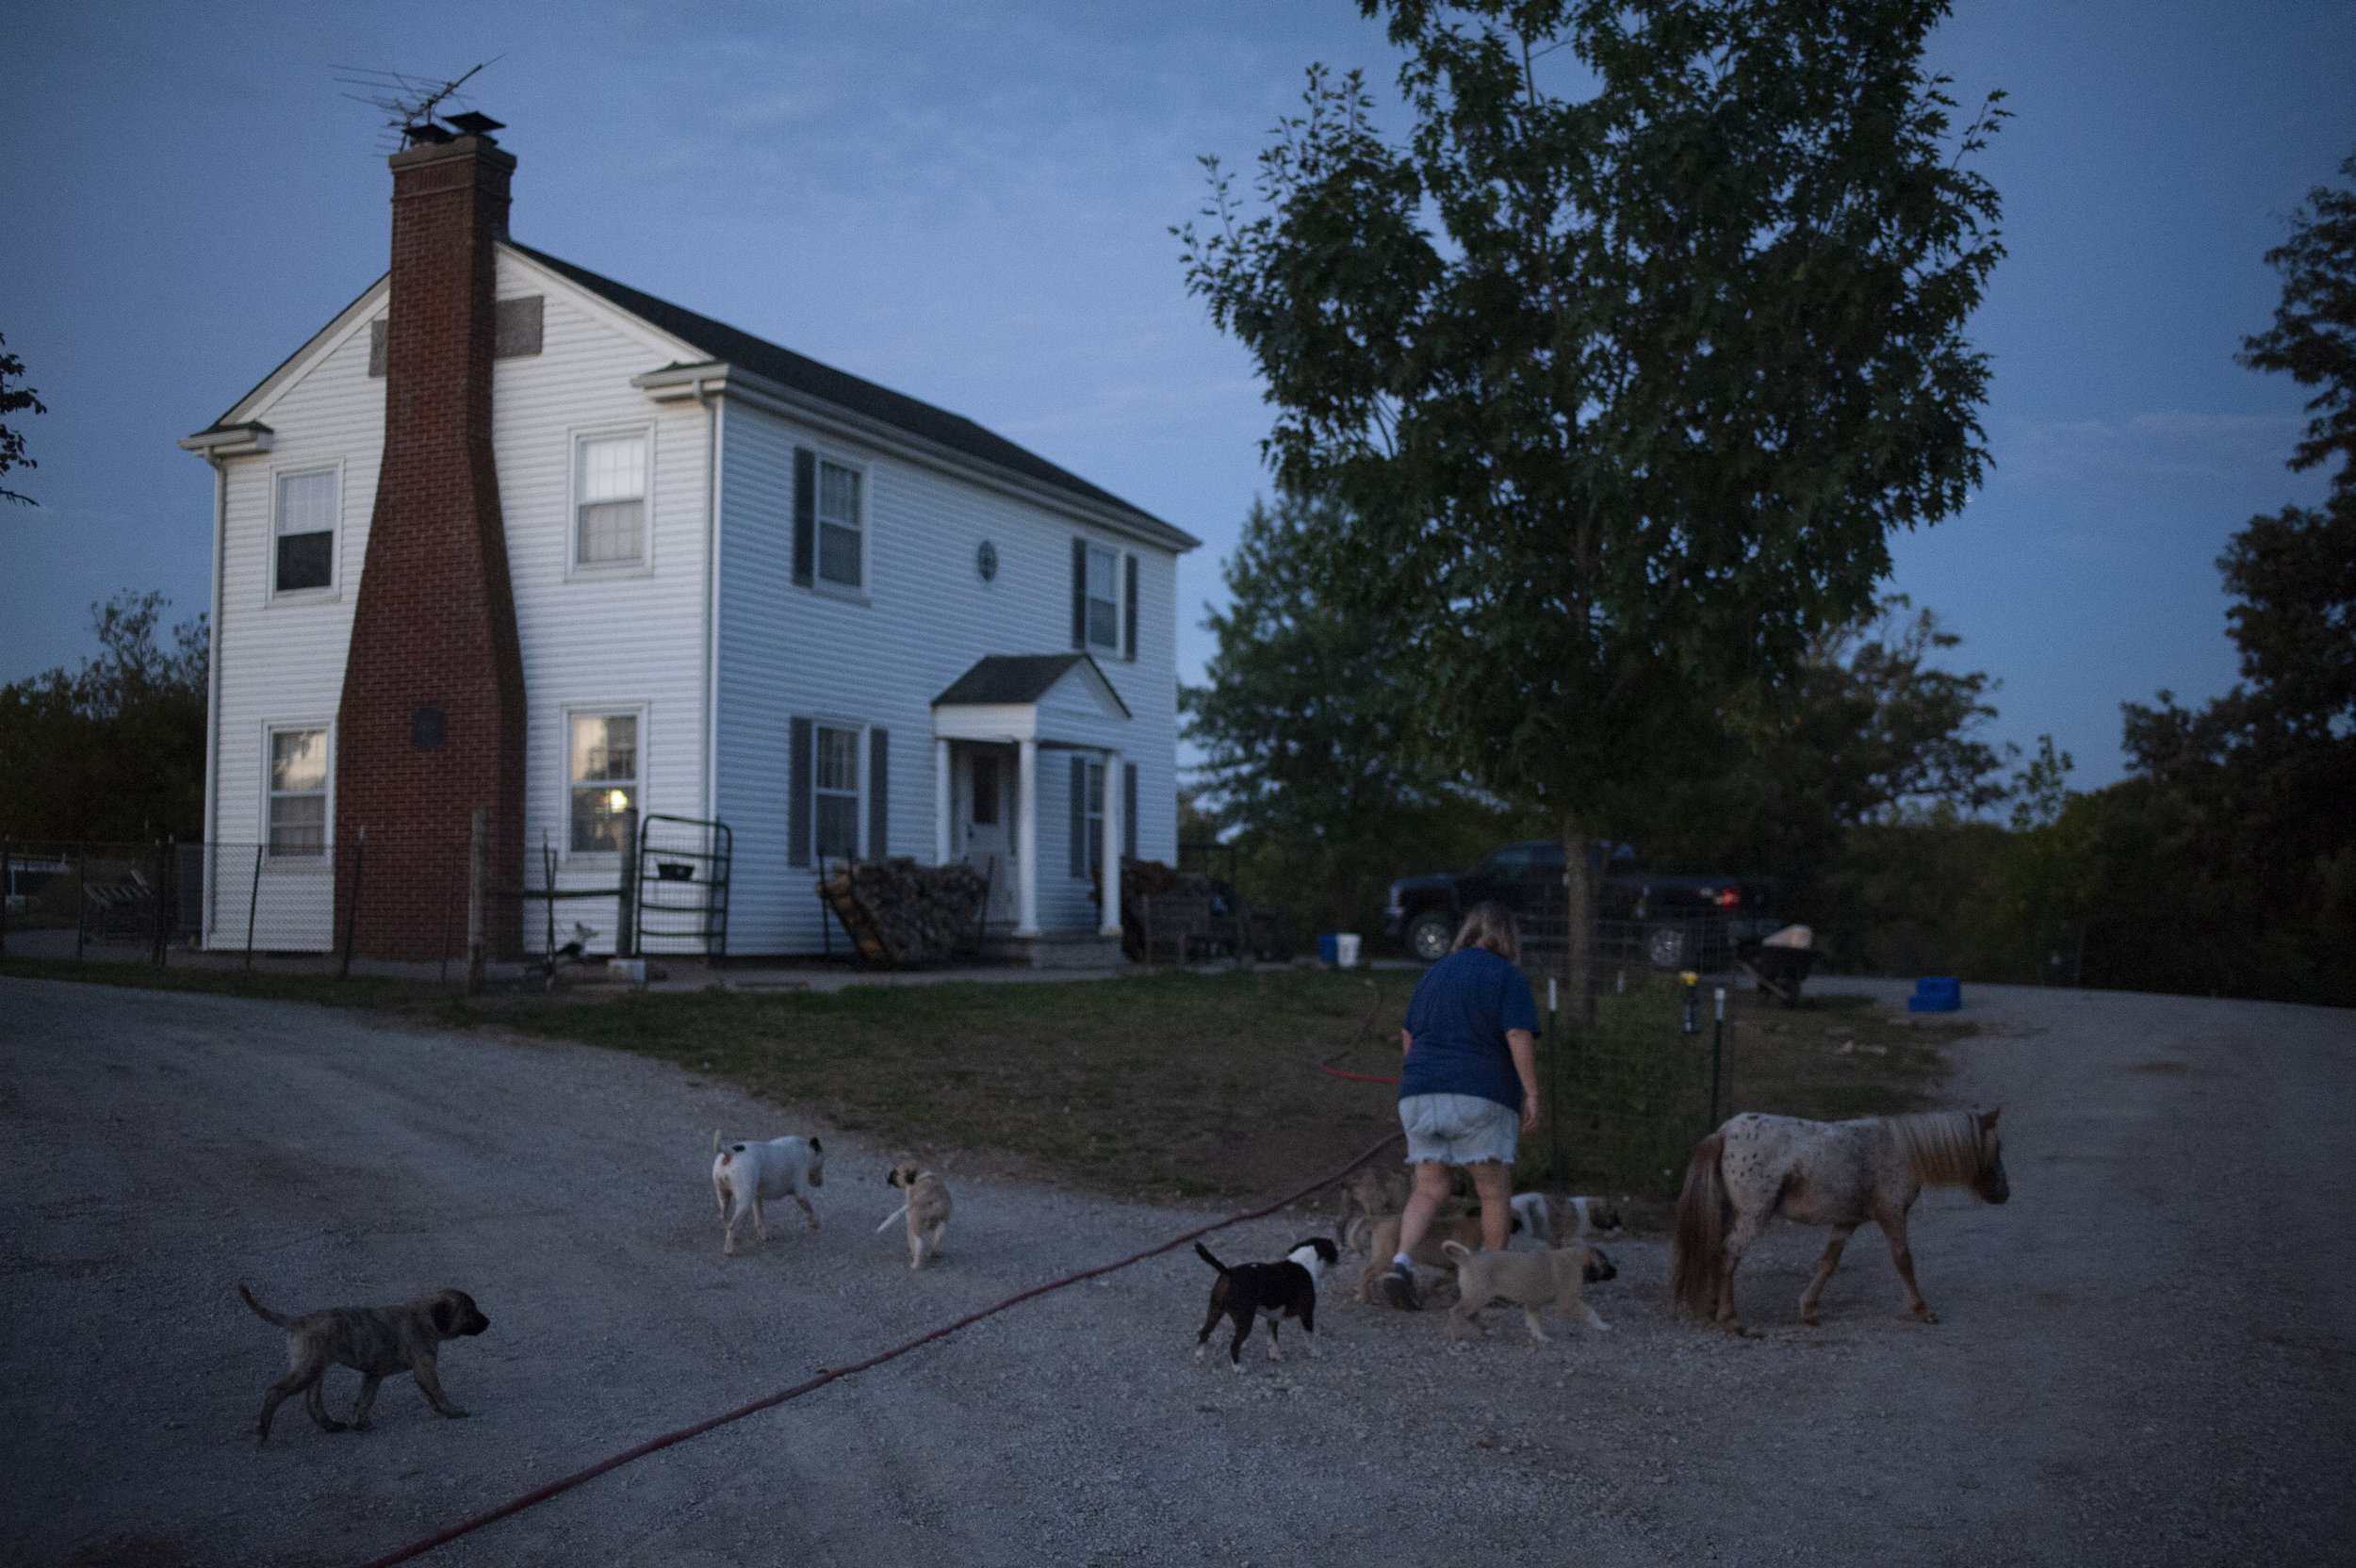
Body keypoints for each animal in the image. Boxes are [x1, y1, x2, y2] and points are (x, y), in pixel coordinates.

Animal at [238, 1281, 492, 1441]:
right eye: (470, 1311)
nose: (489, 1322)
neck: (428, 1315)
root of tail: (297, 1321)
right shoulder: (424, 1368)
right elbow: (438, 1392)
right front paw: (452, 1411)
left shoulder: (374, 1374)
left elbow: (365, 1399)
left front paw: (360, 1423)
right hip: (307, 1370)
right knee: (275, 1392)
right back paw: (263, 1431)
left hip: (316, 1369)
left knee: (312, 1402)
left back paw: (331, 1425)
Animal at [712, 1130, 825, 1252]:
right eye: (822, 1163)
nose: (820, 1182)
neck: (805, 1148)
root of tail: (729, 1153)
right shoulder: (801, 1193)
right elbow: (809, 1209)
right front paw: (814, 1223)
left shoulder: (757, 1198)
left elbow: (759, 1218)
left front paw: (763, 1235)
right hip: (744, 1203)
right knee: (732, 1225)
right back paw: (729, 1249)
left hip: (724, 1195)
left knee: (723, 1217)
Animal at [1187, 1233, 1338, 1365]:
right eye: (1334, 1250)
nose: (1339, 1257)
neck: (1305, 1262)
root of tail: (1228, 1272)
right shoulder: (1306, 1314)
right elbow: (1309, 1337)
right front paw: (1315, 1353)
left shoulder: (1272, 1319)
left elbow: (1272, 1340)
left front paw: (1275, 1356)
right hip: (1245, 1320)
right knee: (1234, 1345)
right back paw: (1238, 1368)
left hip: (1215, 1311)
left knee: (1204, 1333)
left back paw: (1198, 1358)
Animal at [1432, 1243, 1621, 1337]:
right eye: (1605, 1263)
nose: (1617, 1272)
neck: (1576, 1259)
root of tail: (1466, 1259)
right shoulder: (1567, 1302)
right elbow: (1590, 1311)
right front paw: (1603, 1325)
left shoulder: (1533, 1303)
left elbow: (1533, 1321)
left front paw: (1541, 1337)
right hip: (1477, 1297)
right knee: (1456, 1313)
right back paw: (1457, 1341)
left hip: (1476, 1297)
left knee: (1470, 1315)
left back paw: (1485, 1331)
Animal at [1677, 1097, 2007, 1328]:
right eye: (1998, 1146)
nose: (2004, 1193)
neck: (1899, 1149)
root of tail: (1723, 1133)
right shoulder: (1892, 1214)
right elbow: (1903, 1260)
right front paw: (1922, 1309)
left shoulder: (1847, 1221)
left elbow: (1828, 1263)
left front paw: (1809, 1308)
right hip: (1752, 1217)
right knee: (1728, 1255)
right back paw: (1728, 1316)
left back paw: (1713, 1305)